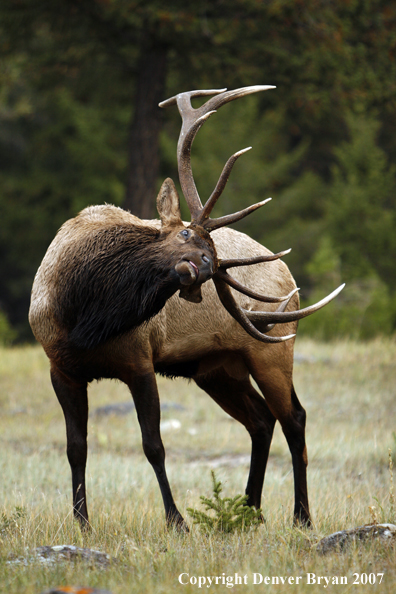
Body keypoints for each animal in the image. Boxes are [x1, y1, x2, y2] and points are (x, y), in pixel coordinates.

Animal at [28, 83, 344, 528]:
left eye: (209, 253)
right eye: (184, 235)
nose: (205, 266)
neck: (81, 314)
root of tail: (288, 275)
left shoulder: (140, 361)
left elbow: (154, 445)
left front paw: (177, 520)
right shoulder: (61, 367)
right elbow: (76, 448)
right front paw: (82, 522)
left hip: (273, 348)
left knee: (293, 417)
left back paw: (300, 516)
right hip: (216, 367)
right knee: (261, 419)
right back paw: (248, 511)